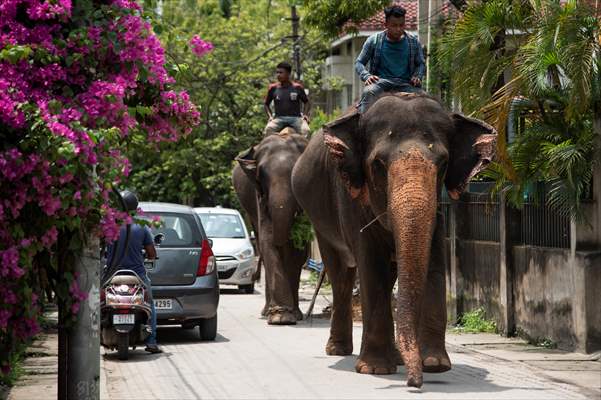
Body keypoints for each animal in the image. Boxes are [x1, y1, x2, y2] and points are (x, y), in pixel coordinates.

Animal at [232, 130, 310, 324]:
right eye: (262, 175)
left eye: (296, 172)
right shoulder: (259, 197)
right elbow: (268, 241)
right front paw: (280, 318)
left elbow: (298, 251)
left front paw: (291, 315)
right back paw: (266, 312)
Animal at [288, 92, 494, 386]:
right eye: (378, 164)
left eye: (443, 163)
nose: (413, 382)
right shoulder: (351, 195)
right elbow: (371, 263)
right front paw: (375, 369)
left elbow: (434, 261)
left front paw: (435, 365)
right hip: (320, 219)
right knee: (341, 274)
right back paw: (339, 350)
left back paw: (396, 357)